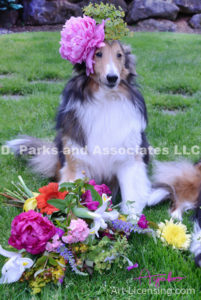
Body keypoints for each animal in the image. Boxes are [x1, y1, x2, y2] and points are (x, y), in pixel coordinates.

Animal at [6, 41, 170, 217]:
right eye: (98, 54)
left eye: (119, 55)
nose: (112, 77)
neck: (106, 98)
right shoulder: (76, 161)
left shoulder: (129, 159)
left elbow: (131, 195)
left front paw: (131, 220)